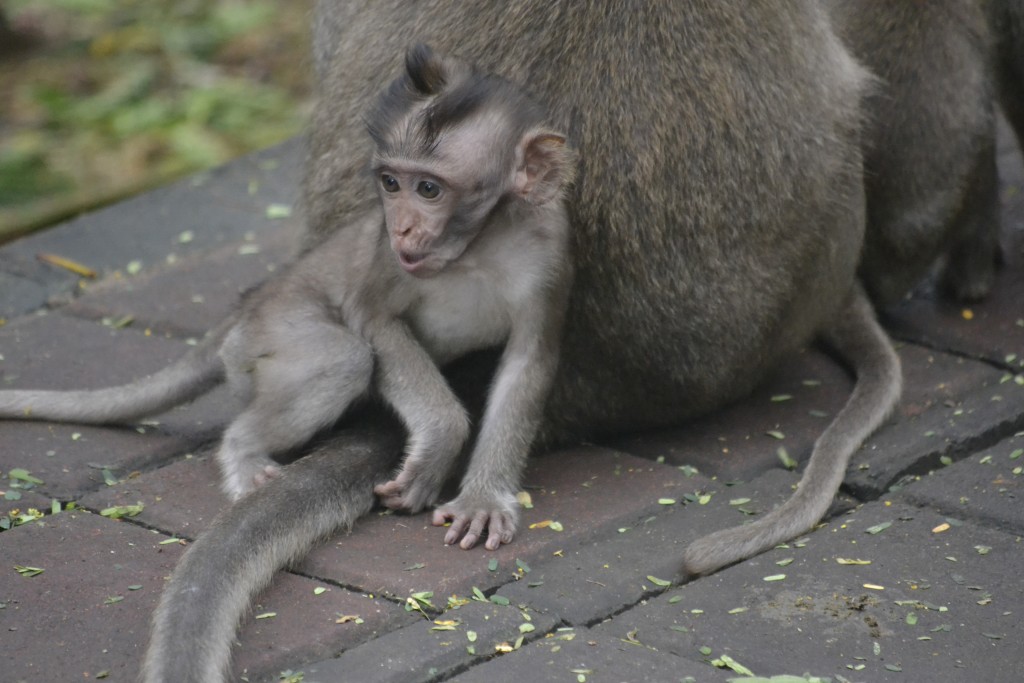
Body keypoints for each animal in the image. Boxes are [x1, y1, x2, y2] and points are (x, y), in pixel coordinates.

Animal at [0, 45, 577, 548]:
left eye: (429, 189)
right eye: (391, 183)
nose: (402, 228)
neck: (479, 247)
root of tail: (250, 305)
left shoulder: (550, 254)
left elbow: (529, 363)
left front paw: (484, 498)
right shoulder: (388, 265)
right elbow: (372, 318)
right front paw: (439, 444)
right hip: (266, 330)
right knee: (341, 357)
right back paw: (244, 449)